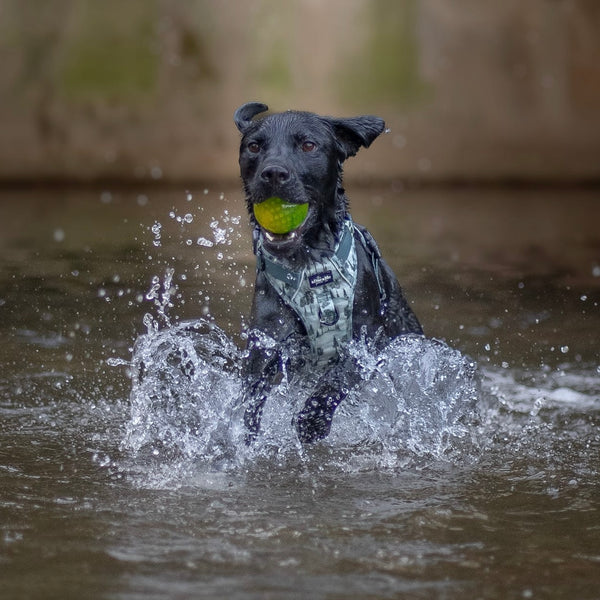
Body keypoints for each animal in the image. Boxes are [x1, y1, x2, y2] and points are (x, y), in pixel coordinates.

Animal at [234, 102, 422, 440]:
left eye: (308, 145)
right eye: (254, 147)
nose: (273, 173)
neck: (311, 266)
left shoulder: (363, 343)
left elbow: (336, 381)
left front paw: (312, 422)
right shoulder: (266, 341)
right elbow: (252, 396)